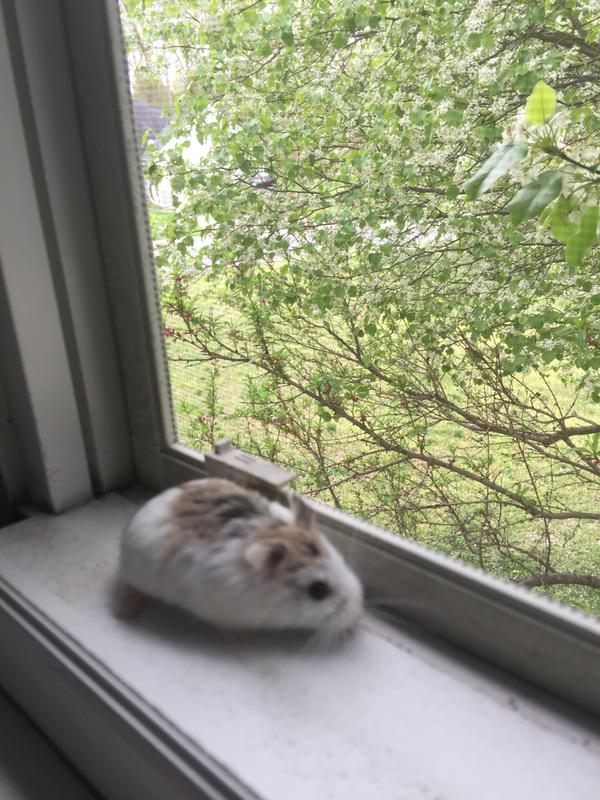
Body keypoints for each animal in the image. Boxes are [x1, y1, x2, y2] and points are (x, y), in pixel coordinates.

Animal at [113, 478, 363, 636]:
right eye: (318, 590)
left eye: (339, 558)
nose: (358, 610)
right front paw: (239, 635)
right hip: (136, 573)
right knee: (127, 586)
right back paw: (127, 611)